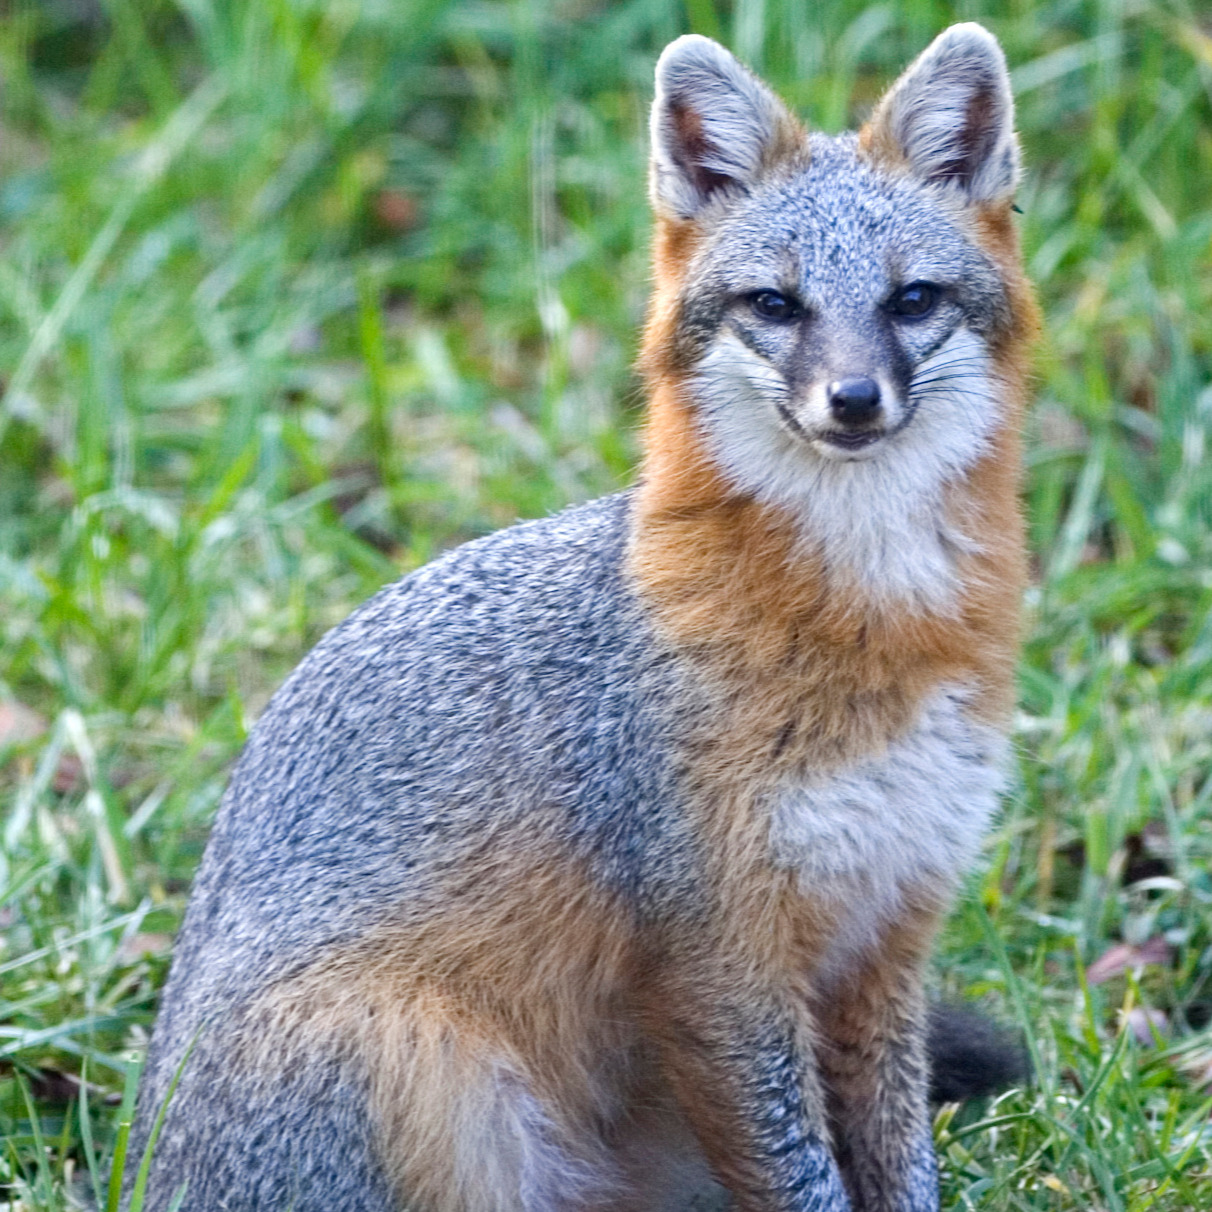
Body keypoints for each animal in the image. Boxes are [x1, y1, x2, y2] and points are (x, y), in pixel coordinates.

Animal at [129, 22, 1037, 1212]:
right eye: (776, 306)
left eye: (913, 300)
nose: (851, 401)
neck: (871, 626)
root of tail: (141, 1165)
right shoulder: (720, 959)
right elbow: (800, 1172)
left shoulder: (888, 933)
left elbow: (896, 1157)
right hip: (418, 1051)